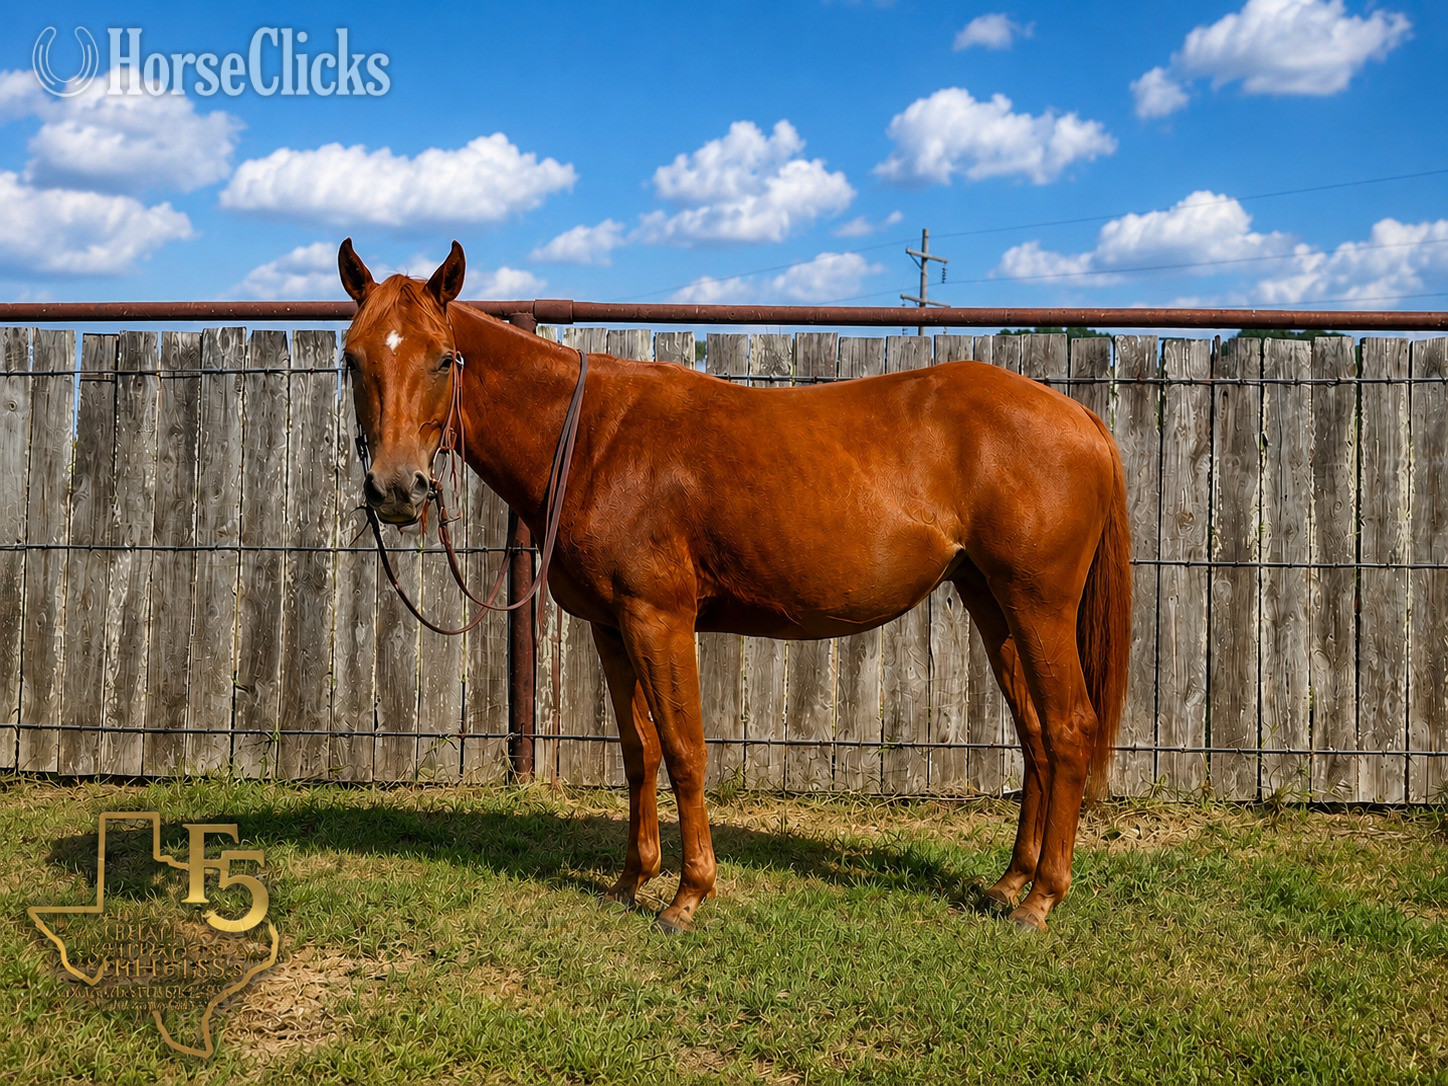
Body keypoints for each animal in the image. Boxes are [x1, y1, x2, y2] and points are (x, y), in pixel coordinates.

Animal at [337, 239, 1131, 933]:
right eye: (352, 358)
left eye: (444, 359)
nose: (397, 490)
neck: (594, 438)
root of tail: (1081, 417)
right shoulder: (610, 626)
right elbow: (639, 752)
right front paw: (630, 881)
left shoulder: (659, 619)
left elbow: (686, 751)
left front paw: (688, 896)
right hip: (991, 600)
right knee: (1035, 735)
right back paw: (1008, 884)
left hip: (1039, 605)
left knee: (1069, 729)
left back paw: (1041, 899)